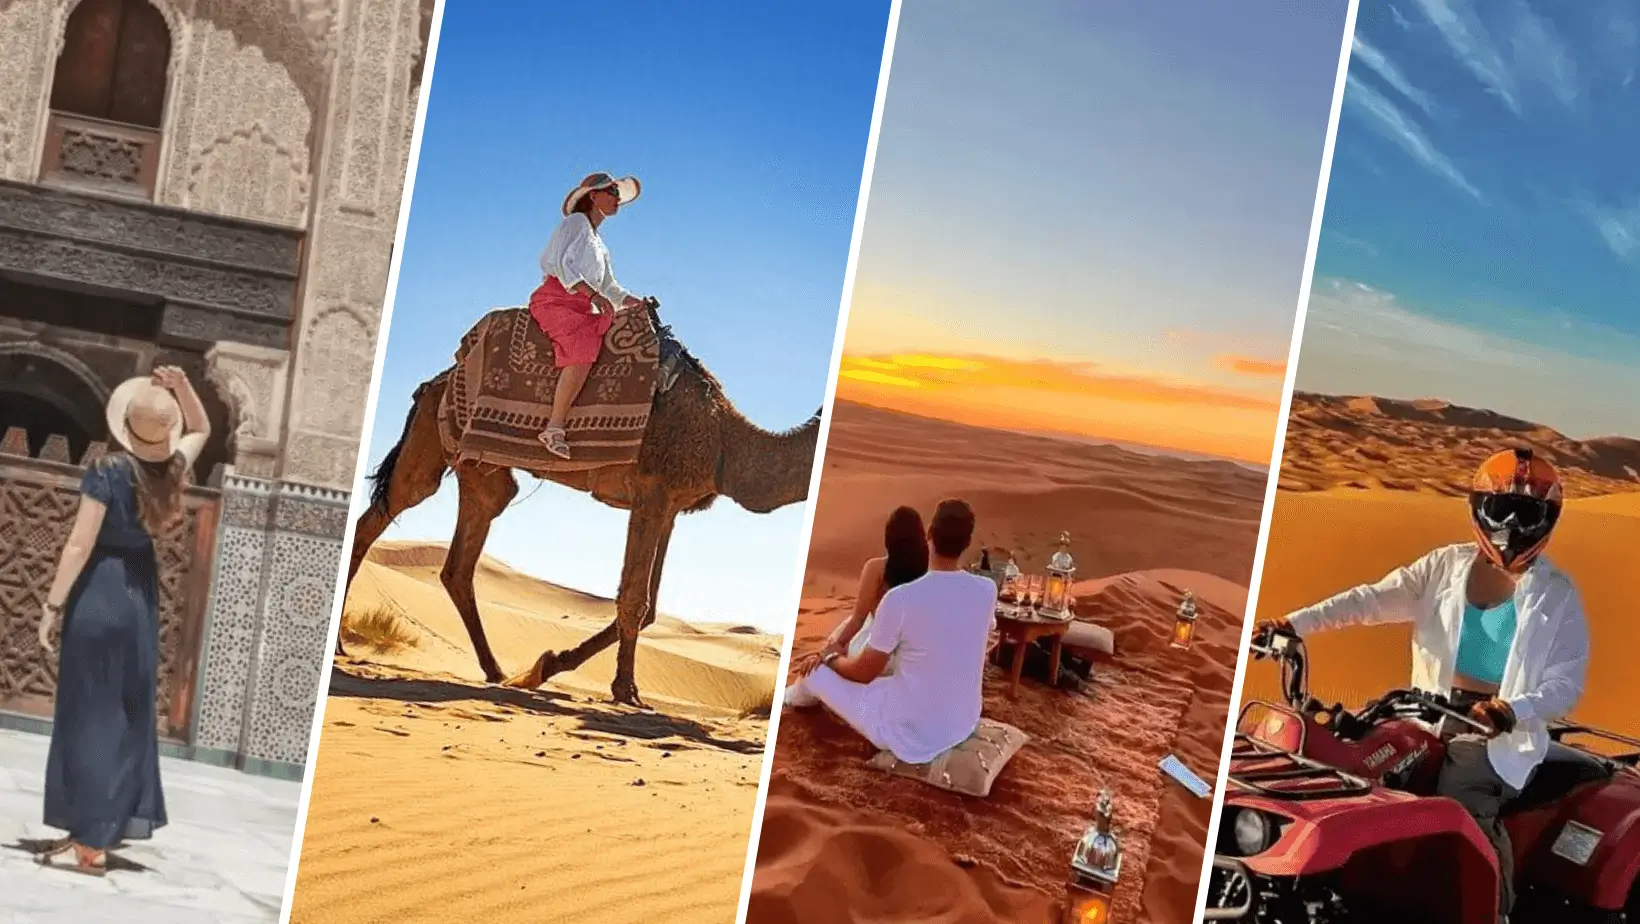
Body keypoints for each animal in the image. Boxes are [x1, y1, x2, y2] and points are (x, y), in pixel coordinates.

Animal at [339, 347, 820, 709]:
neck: (725, 443)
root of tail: (430, 384)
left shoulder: (669, 507)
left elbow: (651, 607)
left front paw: (545, 667)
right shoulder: (652, 493)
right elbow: (634, 600)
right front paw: (626, 692)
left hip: (481, 470)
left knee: (460, 560)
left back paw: (496, 671)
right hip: (431, 444)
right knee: (381, 516)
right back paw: (343, 648)